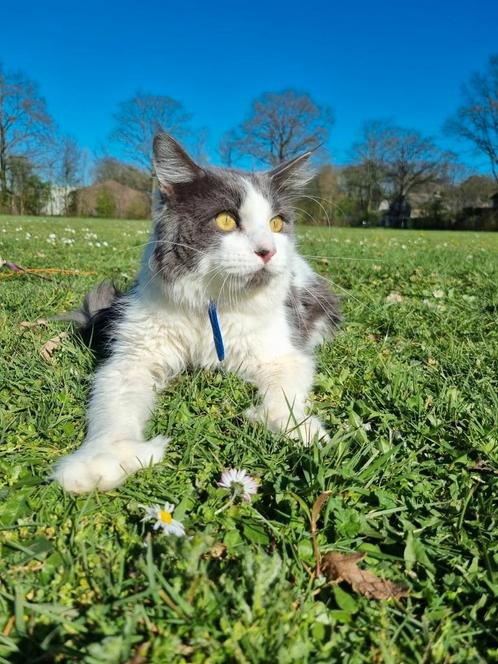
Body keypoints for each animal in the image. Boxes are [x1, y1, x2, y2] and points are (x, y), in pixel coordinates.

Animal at [52, 132, 340, 490]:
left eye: (276, 223)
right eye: (226, 220)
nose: (268, 251)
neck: (212, 304)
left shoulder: (284, 355)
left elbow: (281, 397)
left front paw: (296, 429)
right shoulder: (132, 360)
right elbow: (112, 415)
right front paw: (101, 462)